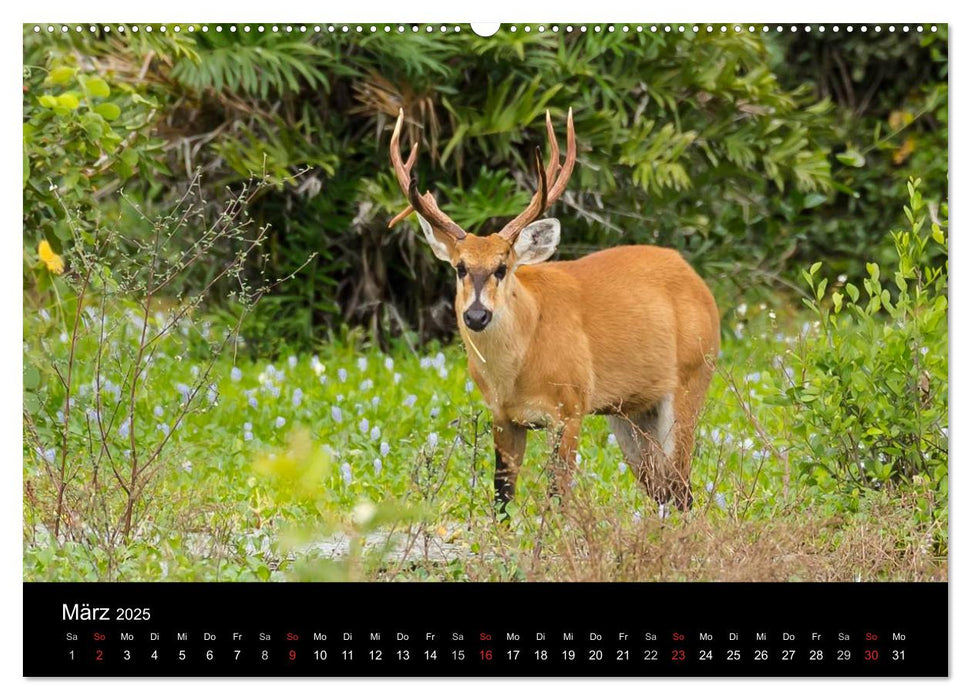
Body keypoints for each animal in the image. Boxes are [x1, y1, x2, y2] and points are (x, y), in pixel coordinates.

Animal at [390, 110, 720, 516]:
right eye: (460, 268)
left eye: (503, 267)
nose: (477, 316)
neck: (518, 366)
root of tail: (698, 282)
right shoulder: (502, 415)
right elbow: (502, 497)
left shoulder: (571, 407)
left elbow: (557, 495)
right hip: (630, 411)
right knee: (664, 488)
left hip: (692, 378)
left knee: (681, 488)